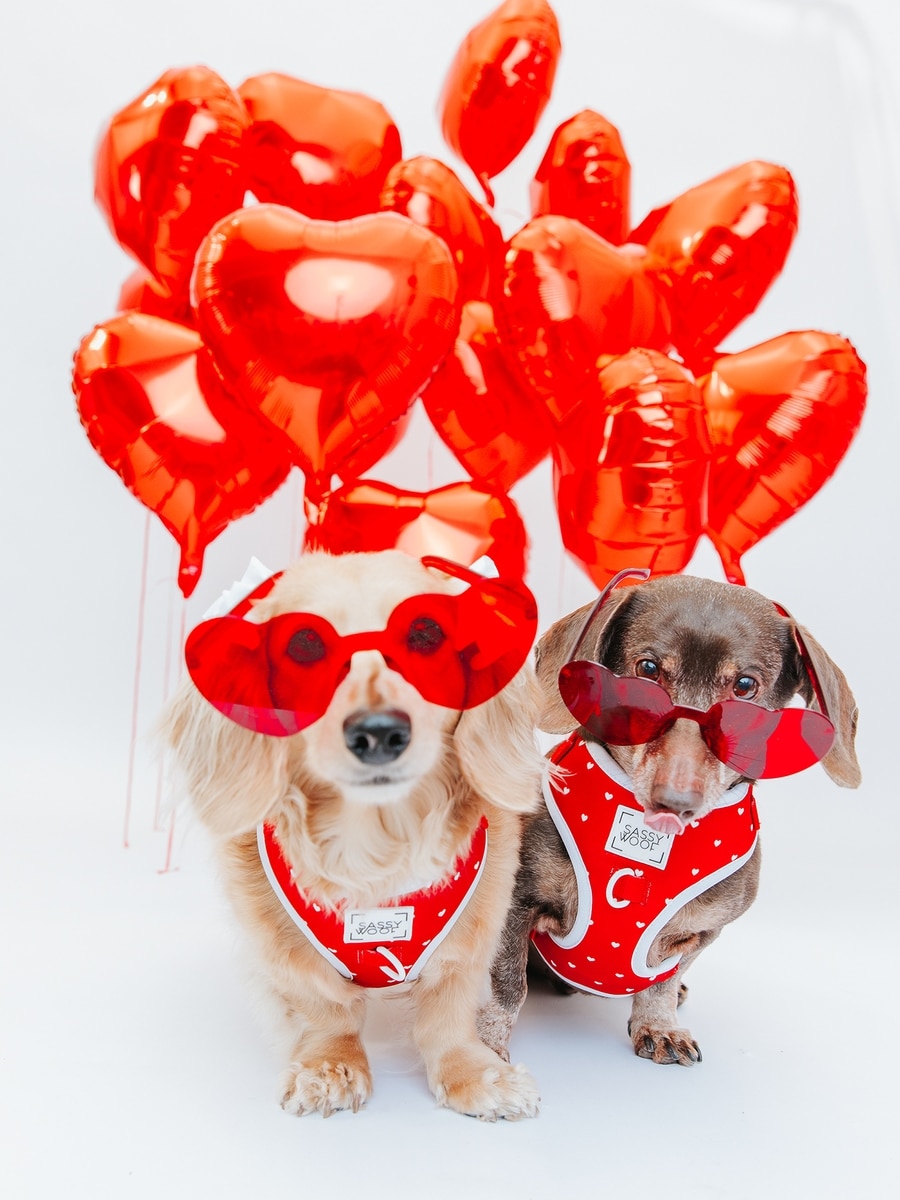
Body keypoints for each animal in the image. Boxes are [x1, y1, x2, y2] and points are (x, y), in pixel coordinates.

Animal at [163, 549, 545, 1119]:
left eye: (426, 634)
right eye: (305, 643)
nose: (379, 732)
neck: (375, 849)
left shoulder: (477, 925)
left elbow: (448, 1011)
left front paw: (473, 1073)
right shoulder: (281, 943)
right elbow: (325, 1009)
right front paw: (331, 1066)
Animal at [478, 572, 860, 1067]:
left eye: (744, 686)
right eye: (648, 670)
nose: (676, 801)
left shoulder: (702, 931)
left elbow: (661, 979)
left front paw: (658, 1024)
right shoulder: (515, 902)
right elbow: (507, 984)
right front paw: (483, 1048)